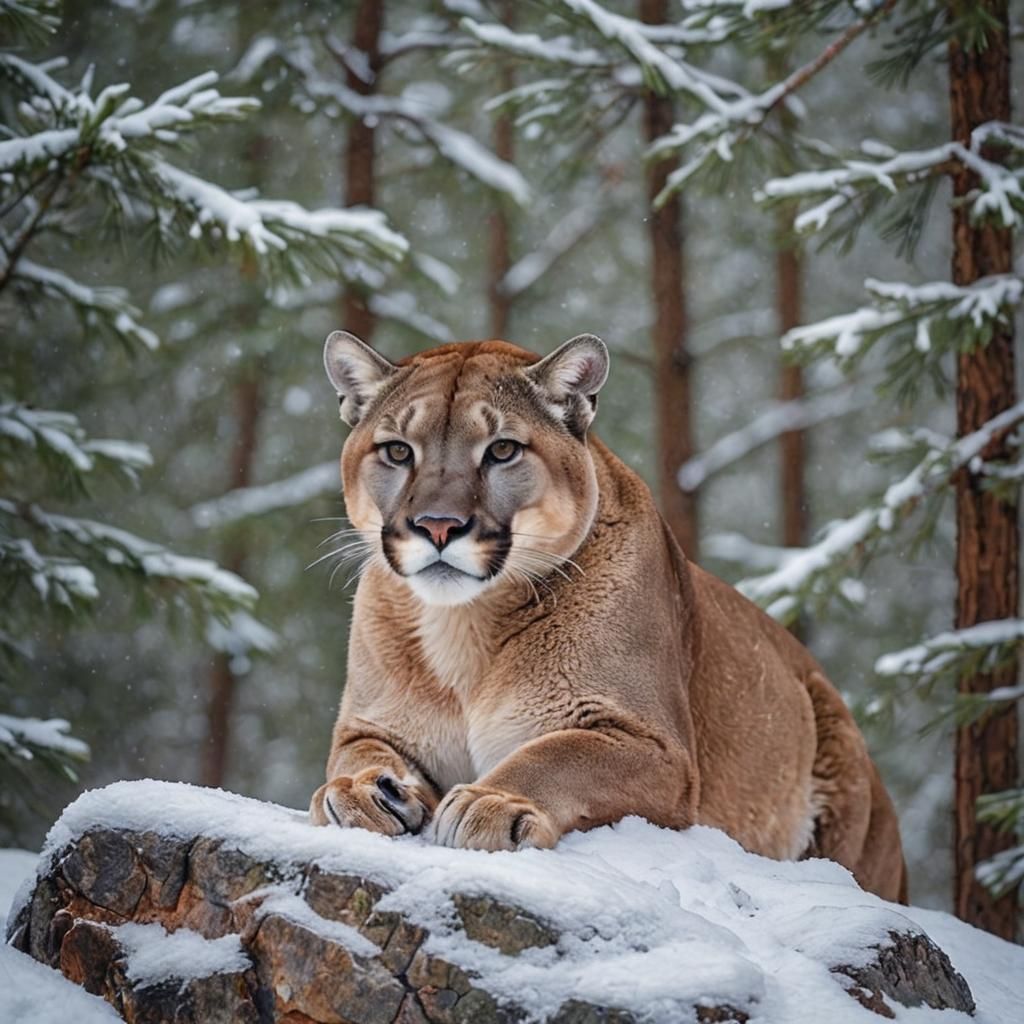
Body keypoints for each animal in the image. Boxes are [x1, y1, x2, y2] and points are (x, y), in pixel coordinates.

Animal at [309, 330, 907, 903]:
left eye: (502, 450)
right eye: (397, 451)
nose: (437, 525)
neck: (465, 626)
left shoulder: (656, 747)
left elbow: (559, 753)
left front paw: (491, 801)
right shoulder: (369, 724)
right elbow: (354, 756)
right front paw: (363, 792)